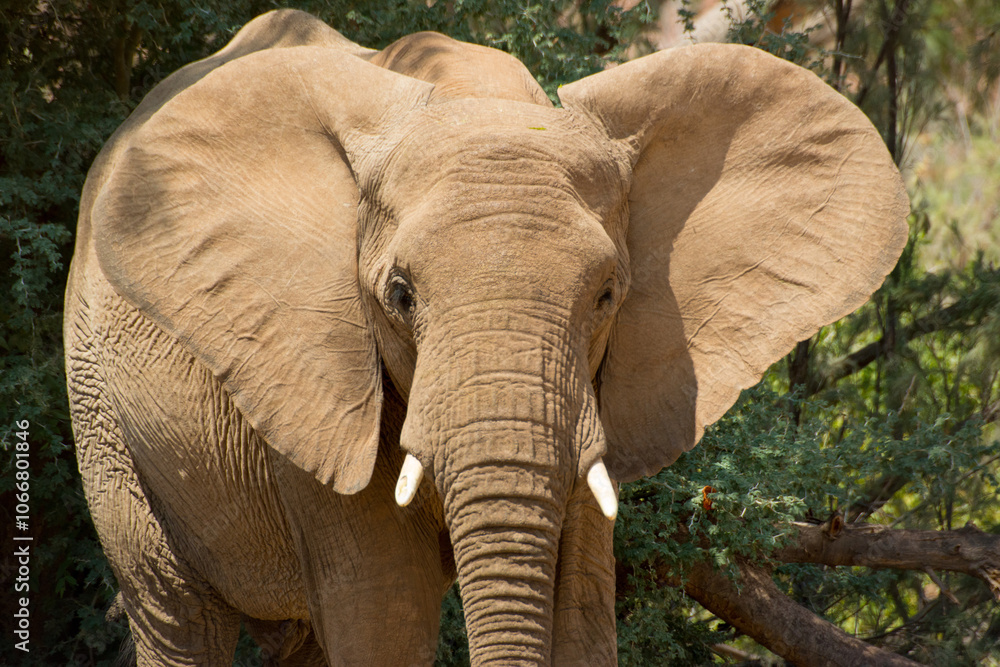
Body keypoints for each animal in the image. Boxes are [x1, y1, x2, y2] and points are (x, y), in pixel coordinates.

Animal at [64, 8, 909, 666]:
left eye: (607, 296)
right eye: (399, 296)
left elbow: (581, 616)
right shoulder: (315, 369)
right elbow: (385, 612)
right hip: (102, 411)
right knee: (178, 616)